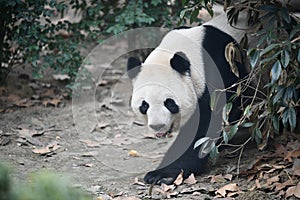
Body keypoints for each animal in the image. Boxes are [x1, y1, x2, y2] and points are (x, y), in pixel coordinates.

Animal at [125, 14, 250, 185]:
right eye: (144, 106)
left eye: (169, 103)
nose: (157, 126)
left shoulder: (220, 70)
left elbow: (202, 128)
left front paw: (162, 174)